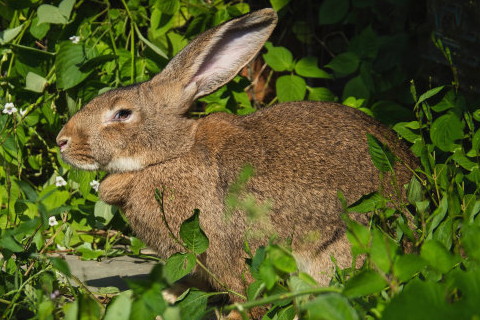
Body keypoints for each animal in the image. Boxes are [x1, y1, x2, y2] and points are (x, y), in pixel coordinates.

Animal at [56, 6, 416, 316]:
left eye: (122, 114)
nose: (61, 141)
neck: (170, 155)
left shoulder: (227, 252)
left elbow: (247, 295)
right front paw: (166, 297)